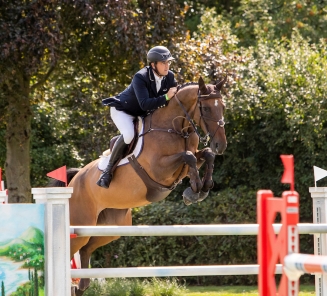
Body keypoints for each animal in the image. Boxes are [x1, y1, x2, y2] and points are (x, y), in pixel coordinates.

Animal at [52, 75, 228, 294]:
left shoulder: (187, 161)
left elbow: (204, 155)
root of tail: (75, 180)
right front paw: (194, 190)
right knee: (73, 249)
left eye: (222, 106)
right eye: (205, 108)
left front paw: (203, 188)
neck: (177, 128)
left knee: (85, 250)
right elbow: (188, 156)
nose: (221, 145)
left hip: (110, 228)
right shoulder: (159, 169)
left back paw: (81, 286)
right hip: (81, 224)